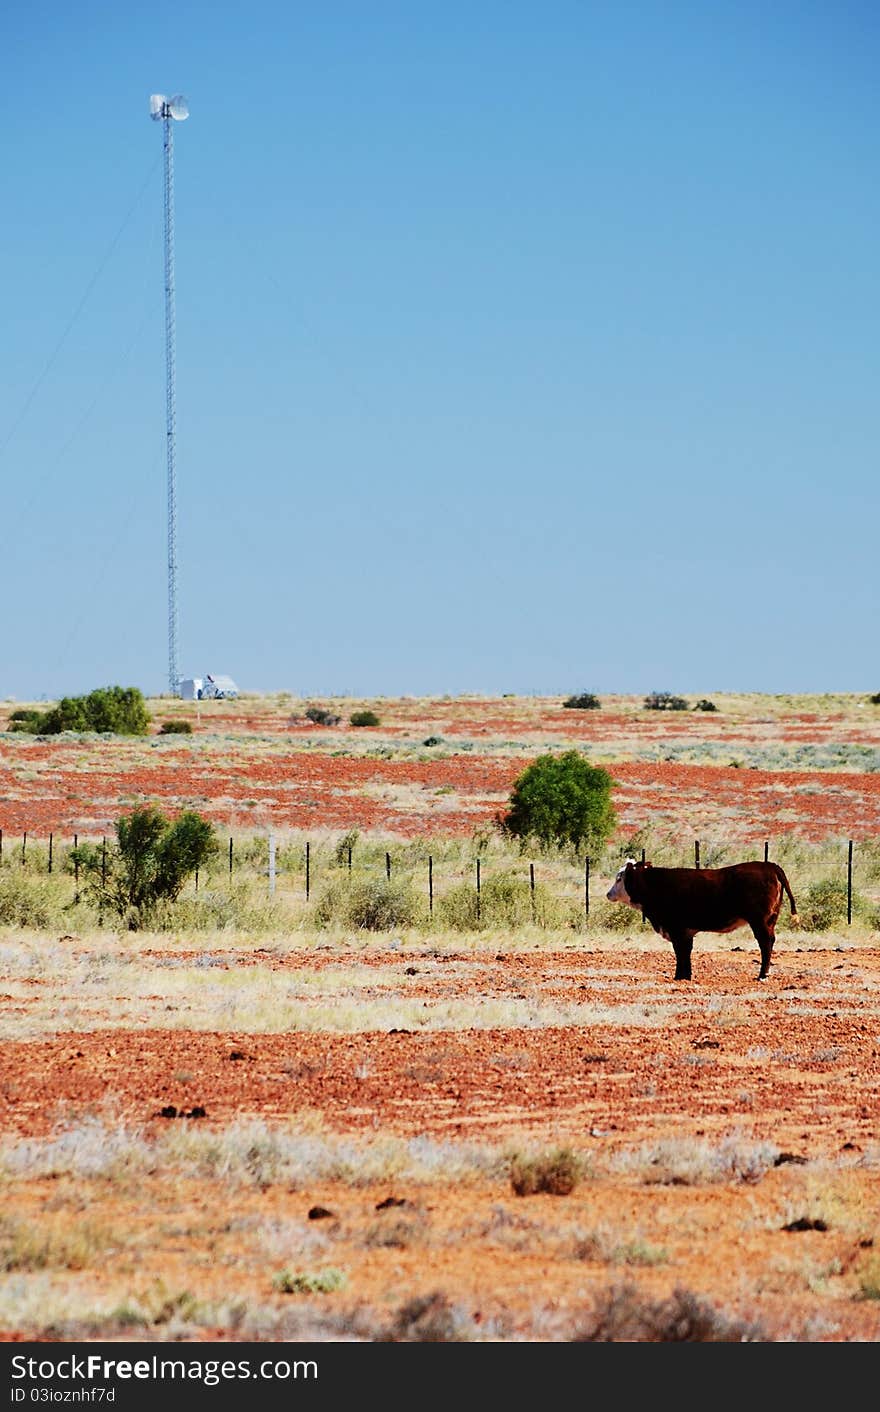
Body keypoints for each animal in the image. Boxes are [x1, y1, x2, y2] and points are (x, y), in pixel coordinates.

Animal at [604, 858, 796, 982]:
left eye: (619, 878)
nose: (608, 894)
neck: (656, 885)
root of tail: (769, 866)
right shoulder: (686, 931)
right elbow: (686, 952)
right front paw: (686, 975)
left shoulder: (677, 929)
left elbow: (680, 952)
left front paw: (679, 976)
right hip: (770, 920)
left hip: (759, 921)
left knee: (765, 943)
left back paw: (762, 975)